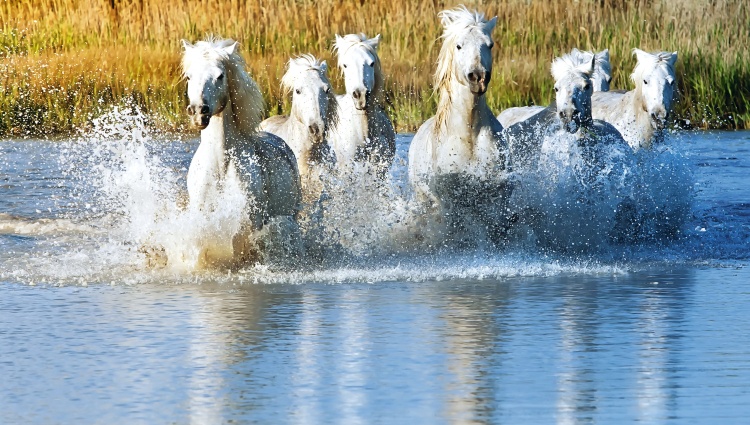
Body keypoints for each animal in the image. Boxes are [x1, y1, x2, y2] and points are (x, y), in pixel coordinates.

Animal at [407, 6, 512, 244]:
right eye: (459, 45)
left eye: (490, 44)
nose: (478, 77)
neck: (469, 133)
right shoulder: (451, 203)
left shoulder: (497, 195)